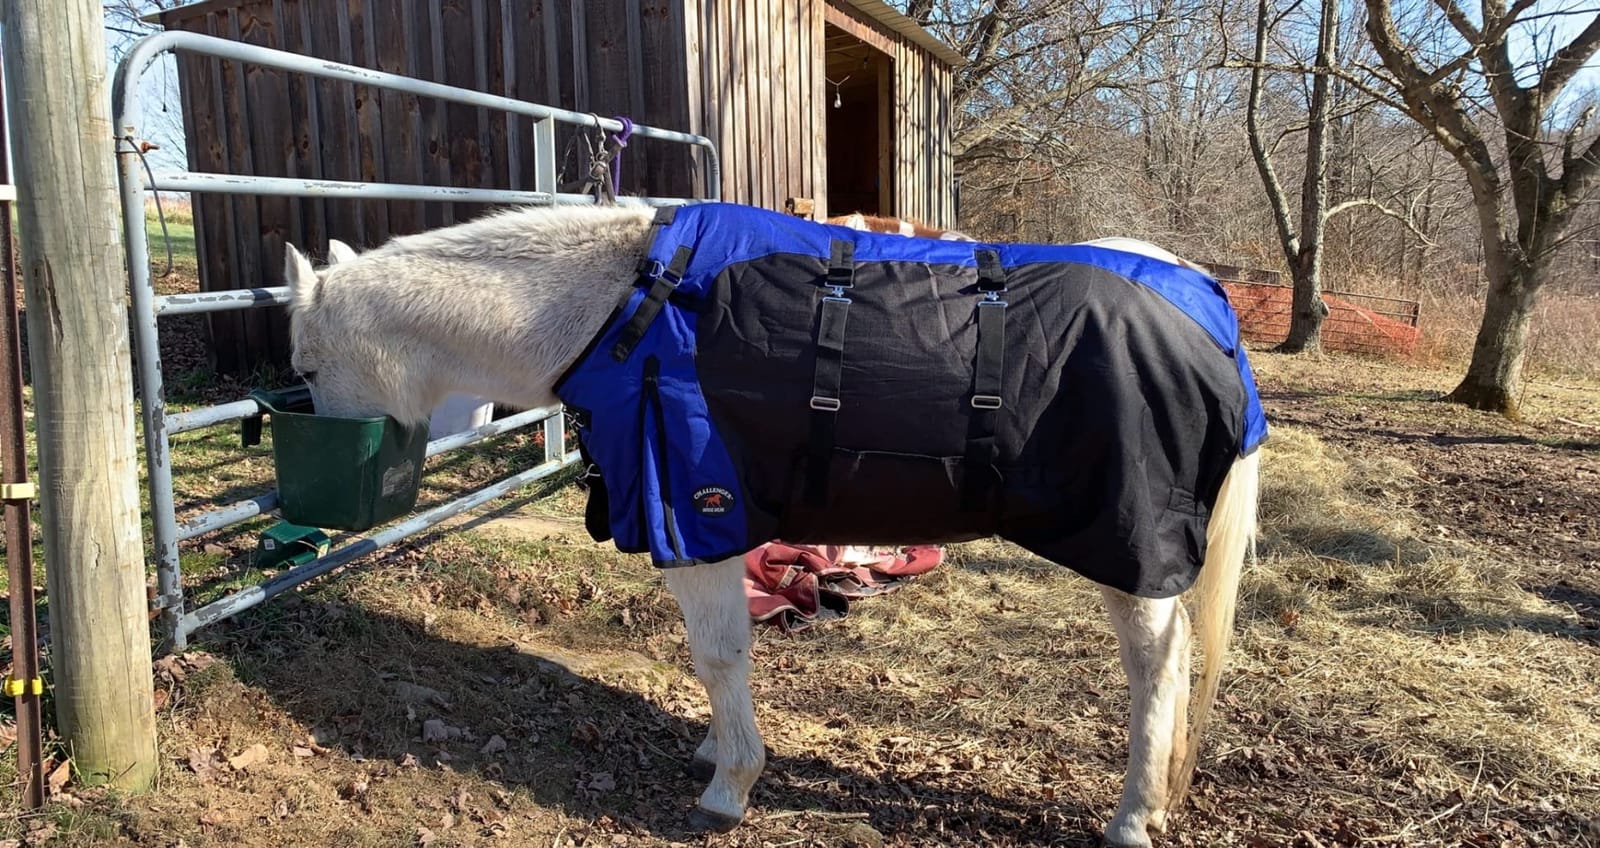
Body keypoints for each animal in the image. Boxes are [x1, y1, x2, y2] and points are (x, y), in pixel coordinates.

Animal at [283, 202, 1262, 848]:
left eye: (306, 363)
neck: (629, 310)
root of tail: (1206, 301)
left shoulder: (699, 524)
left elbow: (718, 654)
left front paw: (731, 784)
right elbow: (723, 657)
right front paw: (717, 747)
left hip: (1129, 549)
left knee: (1157, 667)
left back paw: (1132, 815)